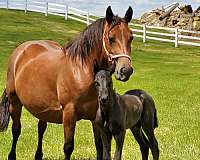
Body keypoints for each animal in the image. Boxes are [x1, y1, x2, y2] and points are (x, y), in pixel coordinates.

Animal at [0, 5, 134, 160]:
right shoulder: (69, 113)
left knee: (41, 129)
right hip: (15, 102)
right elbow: (68, 147)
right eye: (111, 38)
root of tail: (20, 50)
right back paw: (11, 155)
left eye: (131, 37)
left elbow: (99, 146)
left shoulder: (96, 117)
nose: (125, 70)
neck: (82, 70)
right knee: (16, 130)